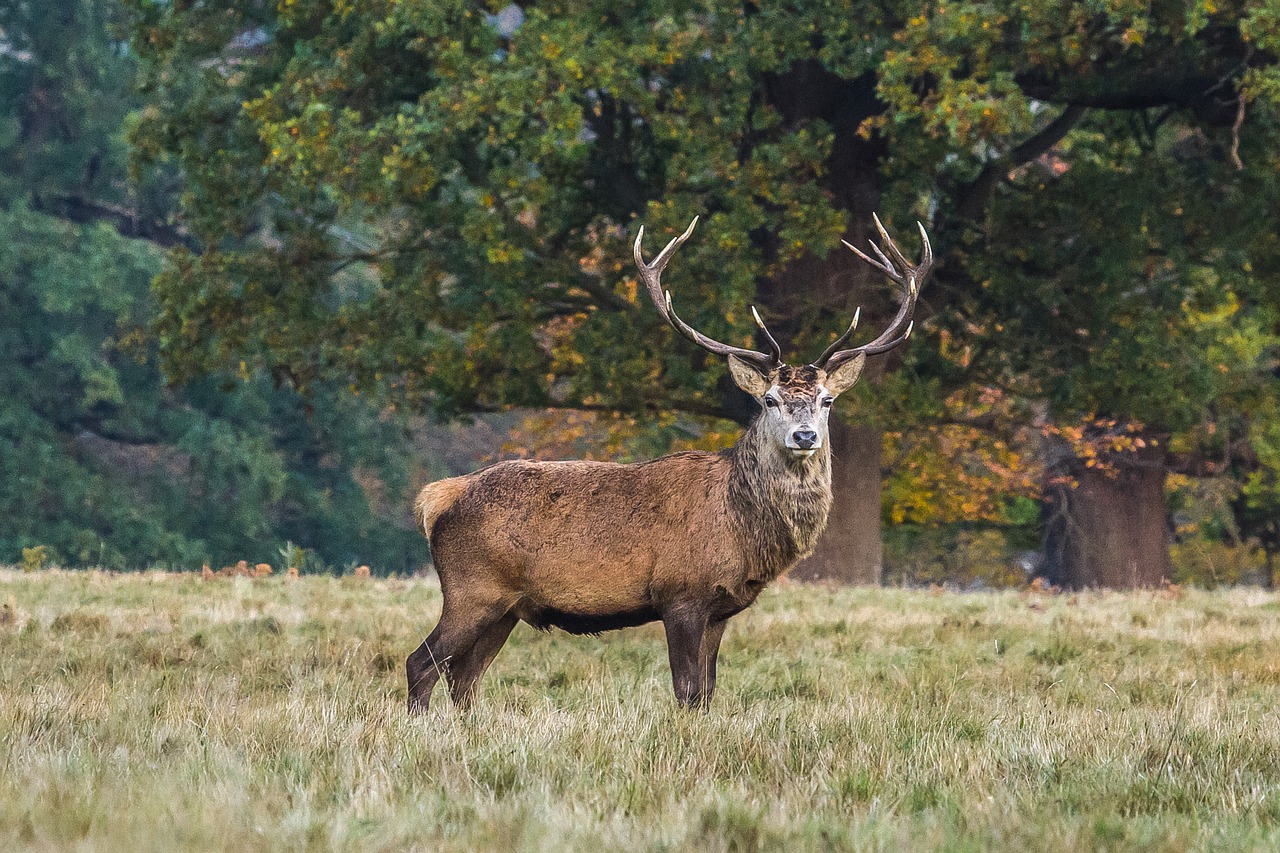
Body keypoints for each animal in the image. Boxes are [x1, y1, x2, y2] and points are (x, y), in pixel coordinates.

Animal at [409, 213, 931, 712]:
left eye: (826, 400)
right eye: (769, 400)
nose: (805, 436)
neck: (740, 527)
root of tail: (437, 498)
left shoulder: (720, 608)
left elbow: (707, 691)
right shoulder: (679, 595)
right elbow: (684, 689)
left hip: (507, 607)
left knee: (463, 677)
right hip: (472, 589)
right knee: (422, 663)